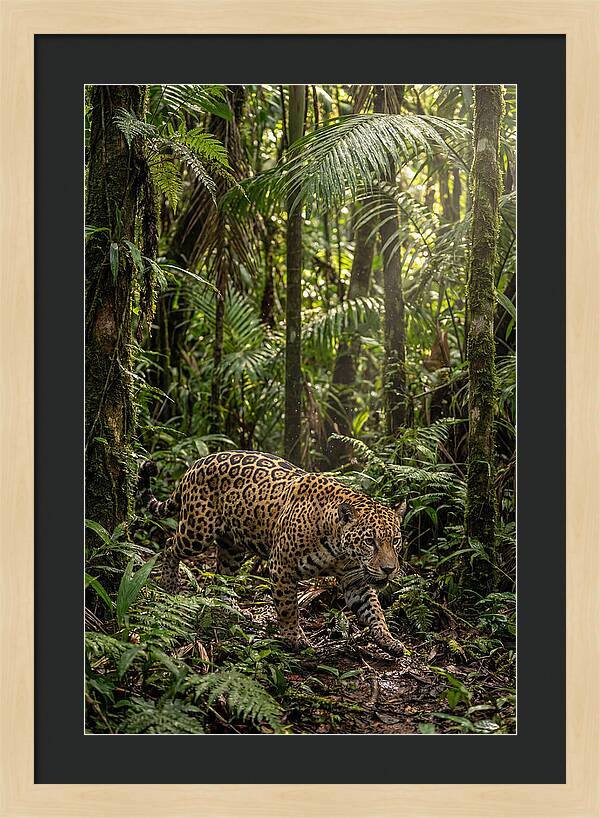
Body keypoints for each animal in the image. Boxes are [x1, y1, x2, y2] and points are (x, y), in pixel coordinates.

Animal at [138, 450, 408, 657]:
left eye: (395, 541)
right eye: (370, 541)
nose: (389, 570)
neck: (339, 549)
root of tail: (195, 464)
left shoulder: (355, 579)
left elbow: (374, 610)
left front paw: (389, 640)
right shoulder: (282, 566)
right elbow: (288, 607)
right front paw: (294, 639)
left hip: (232, 547)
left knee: (222, 573)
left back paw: (228, 606)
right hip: (196, 531)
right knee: (169, 545)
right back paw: (170, 585)